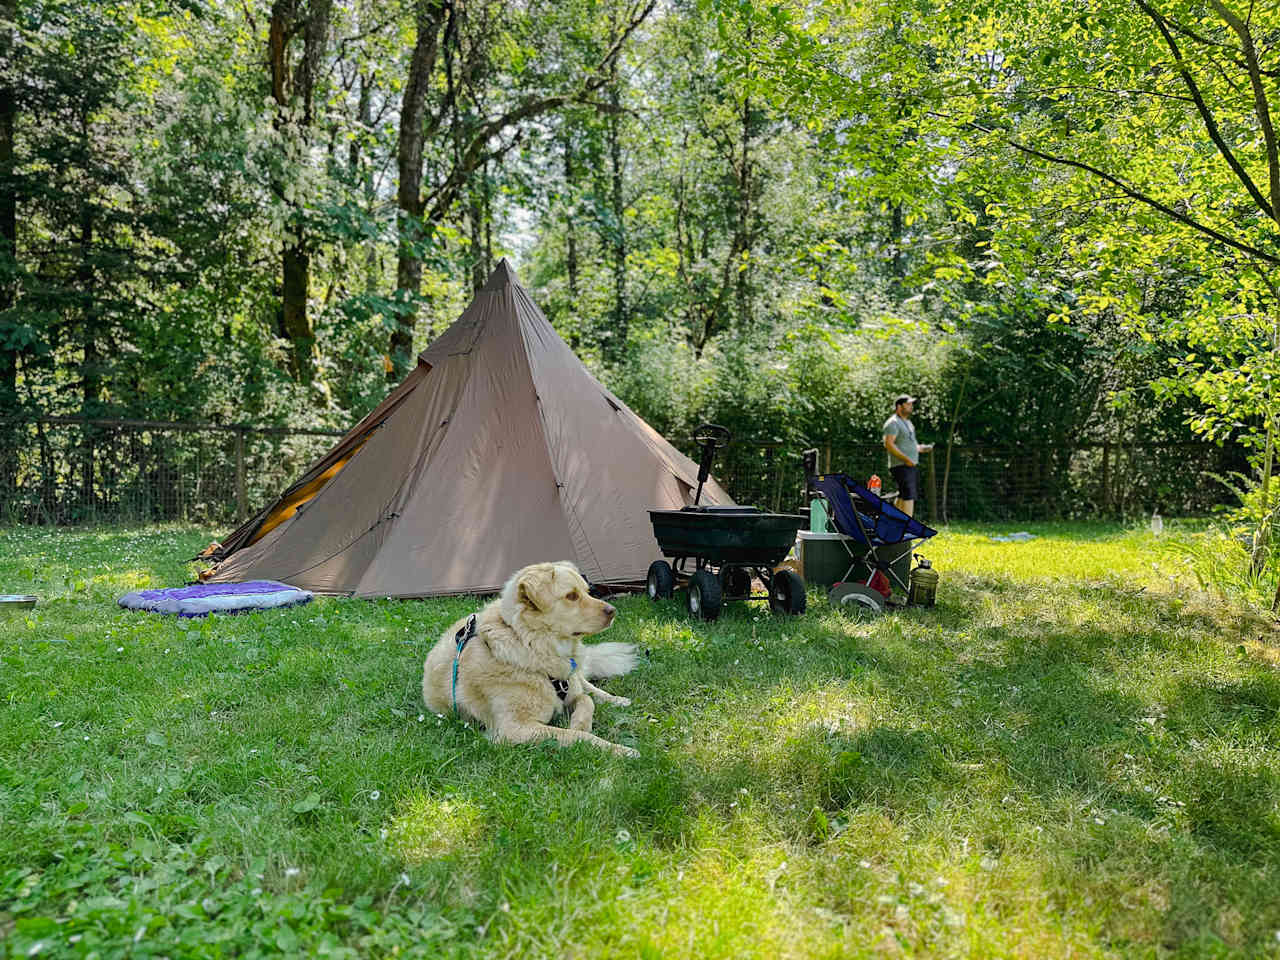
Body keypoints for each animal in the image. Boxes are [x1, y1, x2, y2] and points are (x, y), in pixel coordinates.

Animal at [422, 563, 637, 757]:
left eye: (587, 592)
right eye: (571, 596)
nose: (613, 611)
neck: (530, 644)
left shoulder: (570, 690)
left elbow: (586, 700)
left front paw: (579, 724)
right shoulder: (513, 728)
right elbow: (575, 736)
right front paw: (619, 749)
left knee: (587, 685)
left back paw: (617, 699)